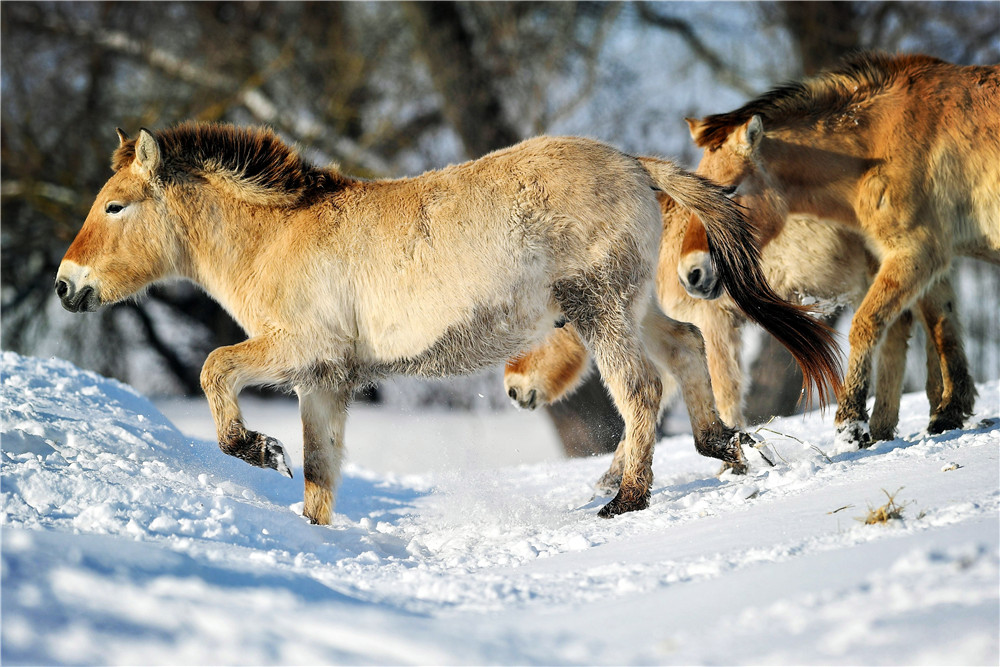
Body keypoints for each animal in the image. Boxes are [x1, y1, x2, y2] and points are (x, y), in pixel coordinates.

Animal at [52, 122, 836, 524]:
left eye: (115, 205)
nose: (66, 285)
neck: (278, 238)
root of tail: (634, 164)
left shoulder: (300, 351)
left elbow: (216, 366)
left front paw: (253, 447)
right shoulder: (323, 381)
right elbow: (319, 474)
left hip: (596, 307)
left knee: (641, 387)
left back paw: (627, 498)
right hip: (632, 305)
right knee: (685, 350)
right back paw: (722, 447)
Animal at [684, 53, 996, 448]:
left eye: (727, 190)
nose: (690, 273)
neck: (879, 142)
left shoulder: (915, 252)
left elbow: (866, 324)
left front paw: (851, 422)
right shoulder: (933, 260)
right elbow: (944, 327)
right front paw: (948, 413)